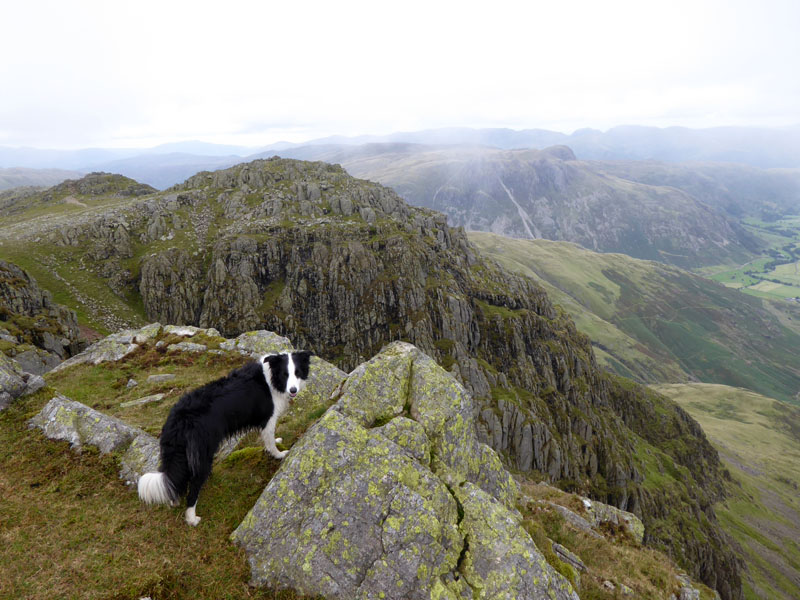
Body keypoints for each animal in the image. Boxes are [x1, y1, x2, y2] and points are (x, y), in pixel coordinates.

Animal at [138, 352, 312, 524]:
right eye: (285, 374)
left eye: (297, 373)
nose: (293, 390)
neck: (271, 379)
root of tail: (179, 419)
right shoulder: (268, 419)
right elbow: (269, 441)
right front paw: (279, 454)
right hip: (203, 454)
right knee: (193, 487)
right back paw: (192, 518)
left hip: (180, 453)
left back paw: (174, 501)